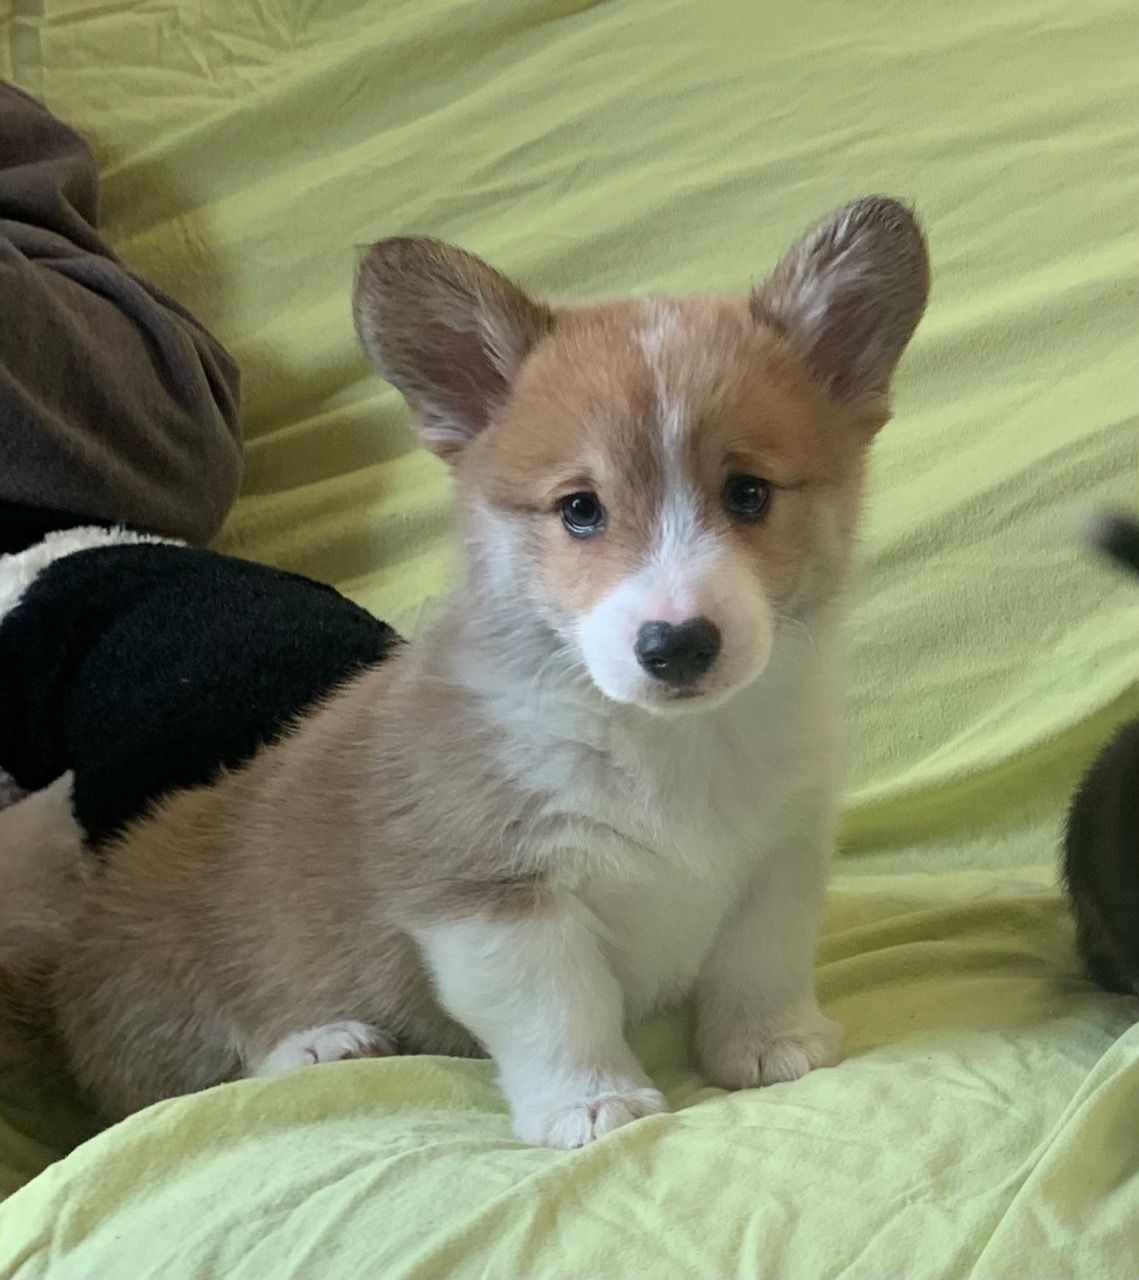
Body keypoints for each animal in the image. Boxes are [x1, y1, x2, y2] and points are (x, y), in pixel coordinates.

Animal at [2, 197, 921, 1152]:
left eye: (748, 494)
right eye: (579, 510)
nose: (676, 645)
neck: (666, 744)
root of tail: (70, 956)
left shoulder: (780, 856)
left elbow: (760, 962)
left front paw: (770, 1044)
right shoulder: (490, 896)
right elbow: (562, 1008)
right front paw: (592, 1103)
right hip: (166, 987)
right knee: (182, 1081)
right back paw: (323, 1043)